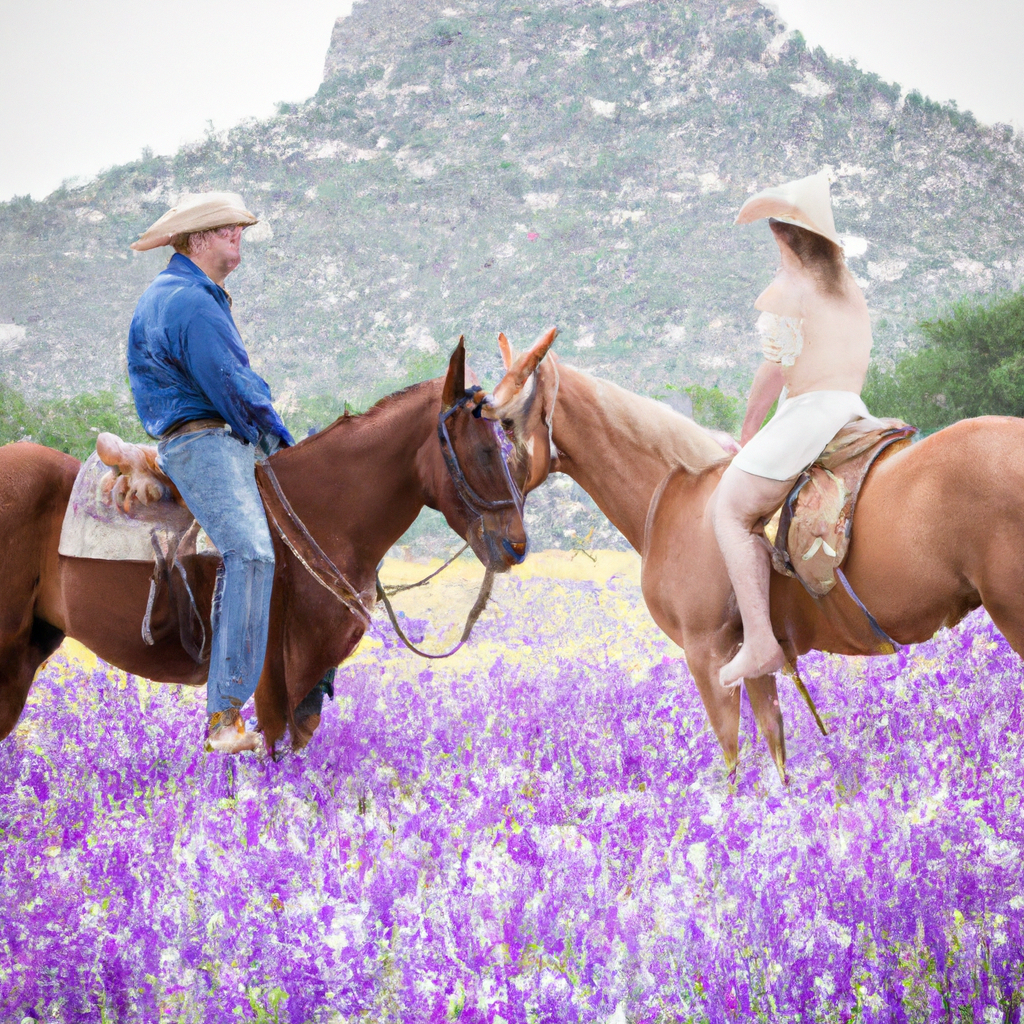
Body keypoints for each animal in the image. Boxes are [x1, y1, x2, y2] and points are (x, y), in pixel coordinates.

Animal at [483, 333, 1024, 774]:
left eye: (505, 423)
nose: (499, 534)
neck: (677, 497)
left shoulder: (707, 657)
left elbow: (735, 765)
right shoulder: (759, 663)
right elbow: (776, 755)